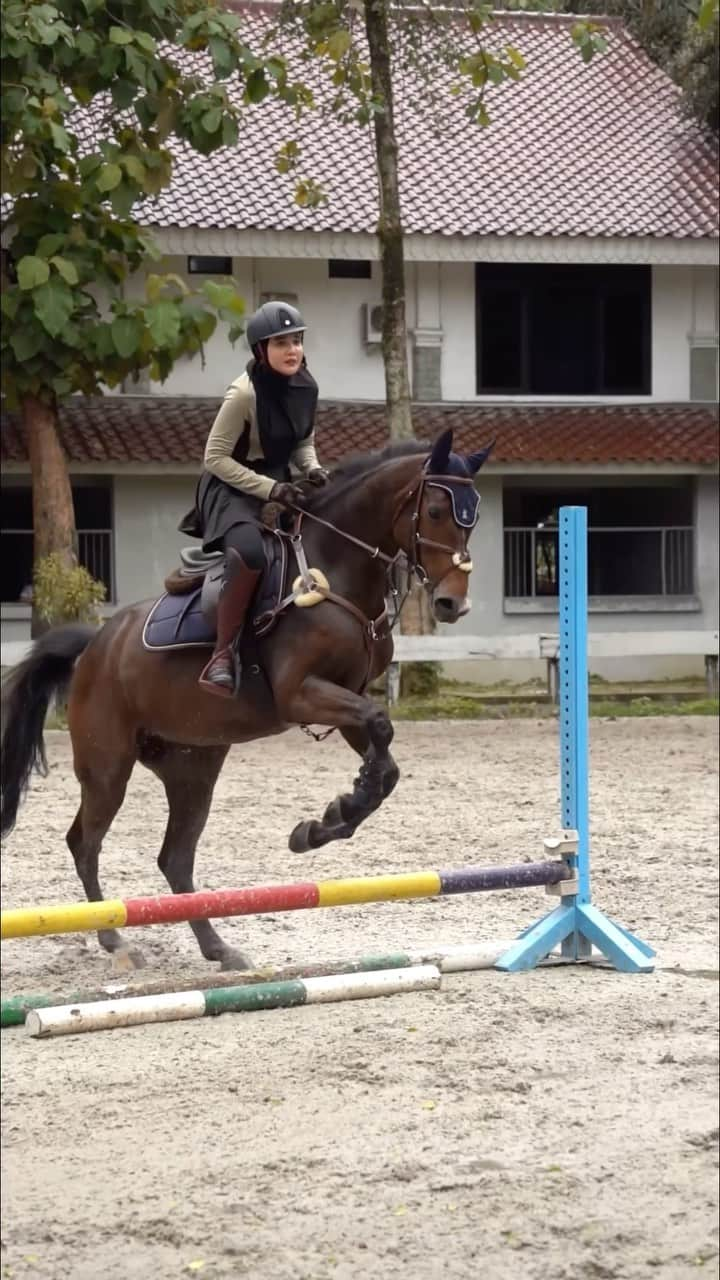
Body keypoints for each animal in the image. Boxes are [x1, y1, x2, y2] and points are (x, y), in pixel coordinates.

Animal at [0, 424, 489, 962]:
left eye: (474, 515)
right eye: (437, 511)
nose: (453, 604)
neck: (337, 572)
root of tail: (94, 645)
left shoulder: (345, 700)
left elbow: (385, 762)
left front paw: (326, 821)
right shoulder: (300, 694)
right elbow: (380, 730)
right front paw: (338, 810)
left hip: (191, 766)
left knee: (174, 859)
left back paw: (217, 947)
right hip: (107, 766)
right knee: (85, 843)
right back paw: (115, 939)